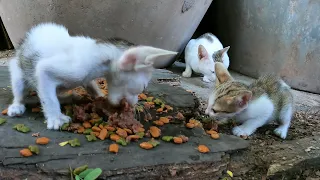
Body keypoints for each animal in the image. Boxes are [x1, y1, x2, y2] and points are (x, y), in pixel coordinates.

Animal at [6, 22, 178, 130]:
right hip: (18, 69)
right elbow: (48, 97)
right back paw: (17, 105)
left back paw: (68, 97)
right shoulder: (65, 69)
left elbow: (91, 85)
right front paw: (55, 118)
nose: (134, 104)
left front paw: (99, 96)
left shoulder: (86, 77)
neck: (98, 54)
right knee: (20, 87)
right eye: (143, 86)